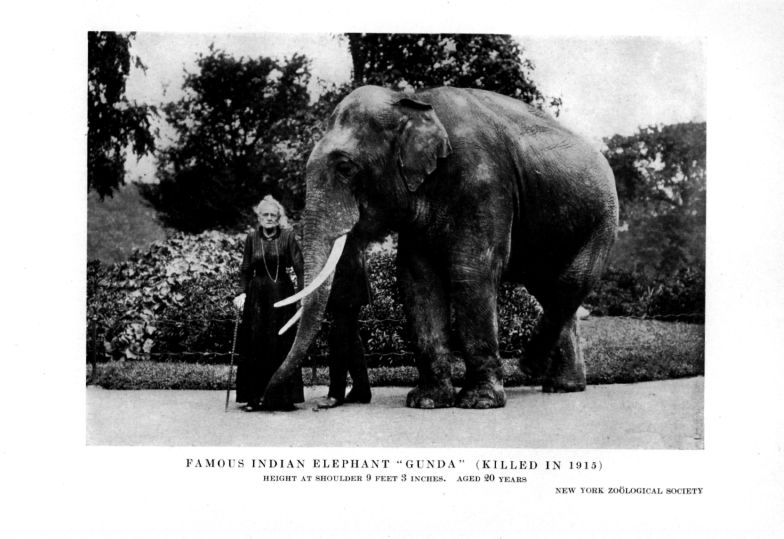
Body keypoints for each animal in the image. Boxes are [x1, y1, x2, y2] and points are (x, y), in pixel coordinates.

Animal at [263, 85, 618, 411]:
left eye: (345, 168)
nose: (267, 400)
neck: (412, 101)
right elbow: (417, 280)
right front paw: (427, 401)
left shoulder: (483, 182)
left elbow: (470, 273)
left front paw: (479, 402)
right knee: (550, 290)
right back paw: (564, 386)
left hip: (602, 220)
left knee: (570, 282)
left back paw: (533, 367)